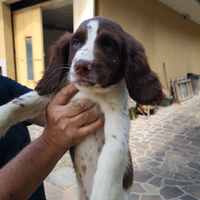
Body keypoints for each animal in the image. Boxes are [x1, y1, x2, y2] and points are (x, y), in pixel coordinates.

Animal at [0, 17, 162, 200]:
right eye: (76, 42)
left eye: (109, 43)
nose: (82, 66)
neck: (91, 91)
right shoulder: (54, 94)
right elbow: (18, 104)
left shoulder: (118, 115)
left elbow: (113, 154)